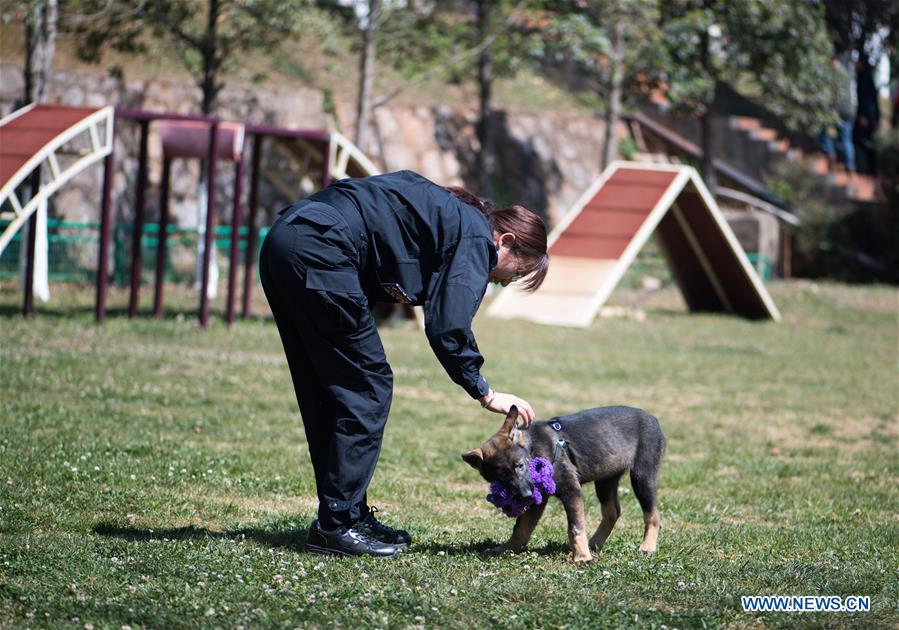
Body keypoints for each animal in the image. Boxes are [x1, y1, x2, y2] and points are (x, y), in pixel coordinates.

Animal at [464, 408, 668, 564]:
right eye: (500, 479)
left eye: (520, 465)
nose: (526, 495)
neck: (533, 448)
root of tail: (654, 419)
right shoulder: (539, 499)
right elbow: (521, 528)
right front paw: (506, 548)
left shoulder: (571, 491)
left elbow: (575, 527)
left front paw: (582, 557)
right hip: (605, 479)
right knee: (612, 512)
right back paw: (594, 544)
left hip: (642, 477)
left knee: (652, 515)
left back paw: (647, 547)